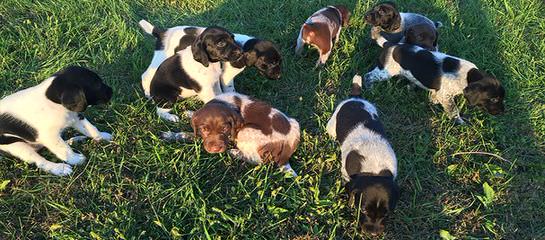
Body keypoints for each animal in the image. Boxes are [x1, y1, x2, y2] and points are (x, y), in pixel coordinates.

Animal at [140, 19, 280, 103]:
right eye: (271, 63)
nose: (279, 76)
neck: (244, 45)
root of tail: (163, 32)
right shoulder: (226, 76)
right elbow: (229, 89)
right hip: (161, 57)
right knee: (146, 75)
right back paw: (148, 93)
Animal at [328, 74, 400, 234]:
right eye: (364, 211)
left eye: (386, 214)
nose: (373, 233)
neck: (375, 170)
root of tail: (356, 98)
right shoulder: (346, 173)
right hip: (331, 125)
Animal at [364, 42, 504, 124]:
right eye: (494, 99)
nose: (502, 112)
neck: (468, 76)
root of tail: (389, 45)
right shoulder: (446, 96)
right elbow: (453, 110)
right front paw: (459, 122)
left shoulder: (440, 93)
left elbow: (434, 98)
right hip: (385, 71)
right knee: (368, 76)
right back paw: (370, 88)